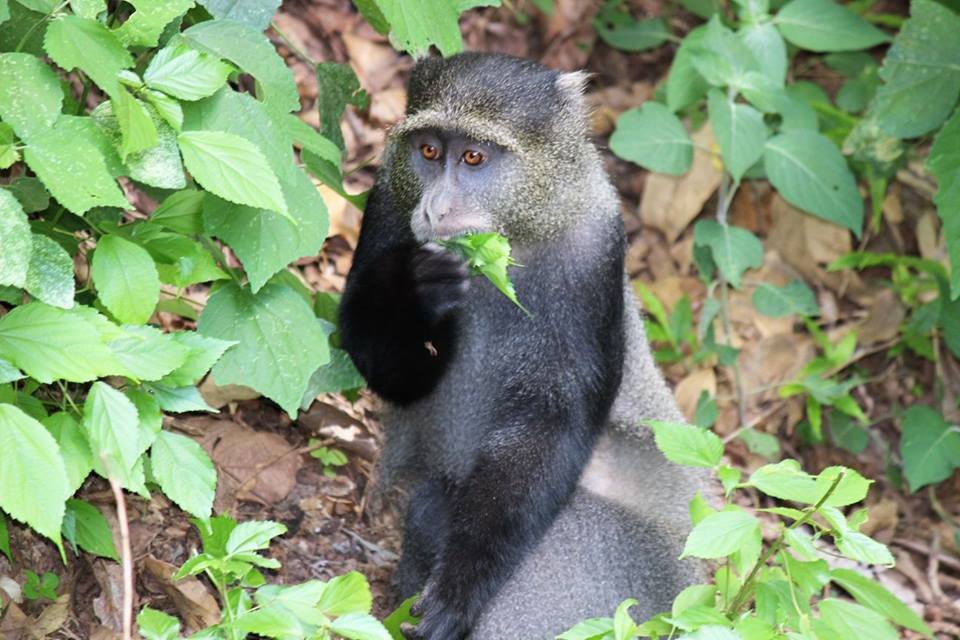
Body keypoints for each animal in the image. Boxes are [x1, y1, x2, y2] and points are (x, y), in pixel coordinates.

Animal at [339, 52, 709, 640]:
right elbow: (382, 363)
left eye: (473, 157)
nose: (436, 209)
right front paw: (414, 288)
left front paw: (459, 591)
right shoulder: (388, 202)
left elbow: (551, 420)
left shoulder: (595, 250)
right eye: (428, 151)